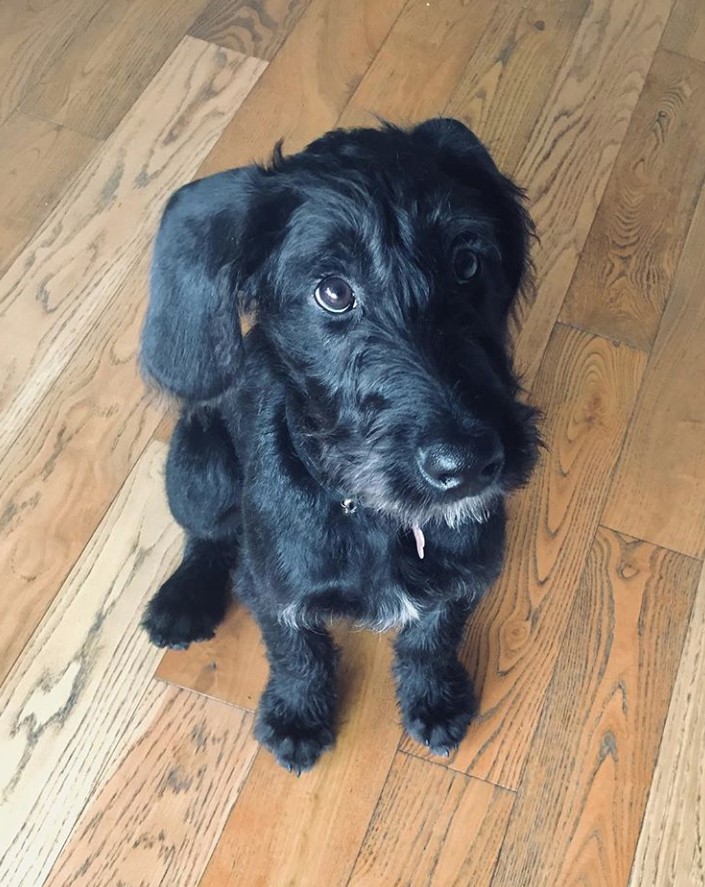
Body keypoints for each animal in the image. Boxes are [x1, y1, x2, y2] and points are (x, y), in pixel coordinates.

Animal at [140, 119, 536, 776]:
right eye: (332, 292)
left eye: (465, 262)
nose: (467, 465)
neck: (377, 517)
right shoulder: (273, 588)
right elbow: (297, 651)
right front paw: (297, 718)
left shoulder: (468, 569)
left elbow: (432, 635)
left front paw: (434, 699)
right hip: (197, 468)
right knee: (206, 537)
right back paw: (183, 598)